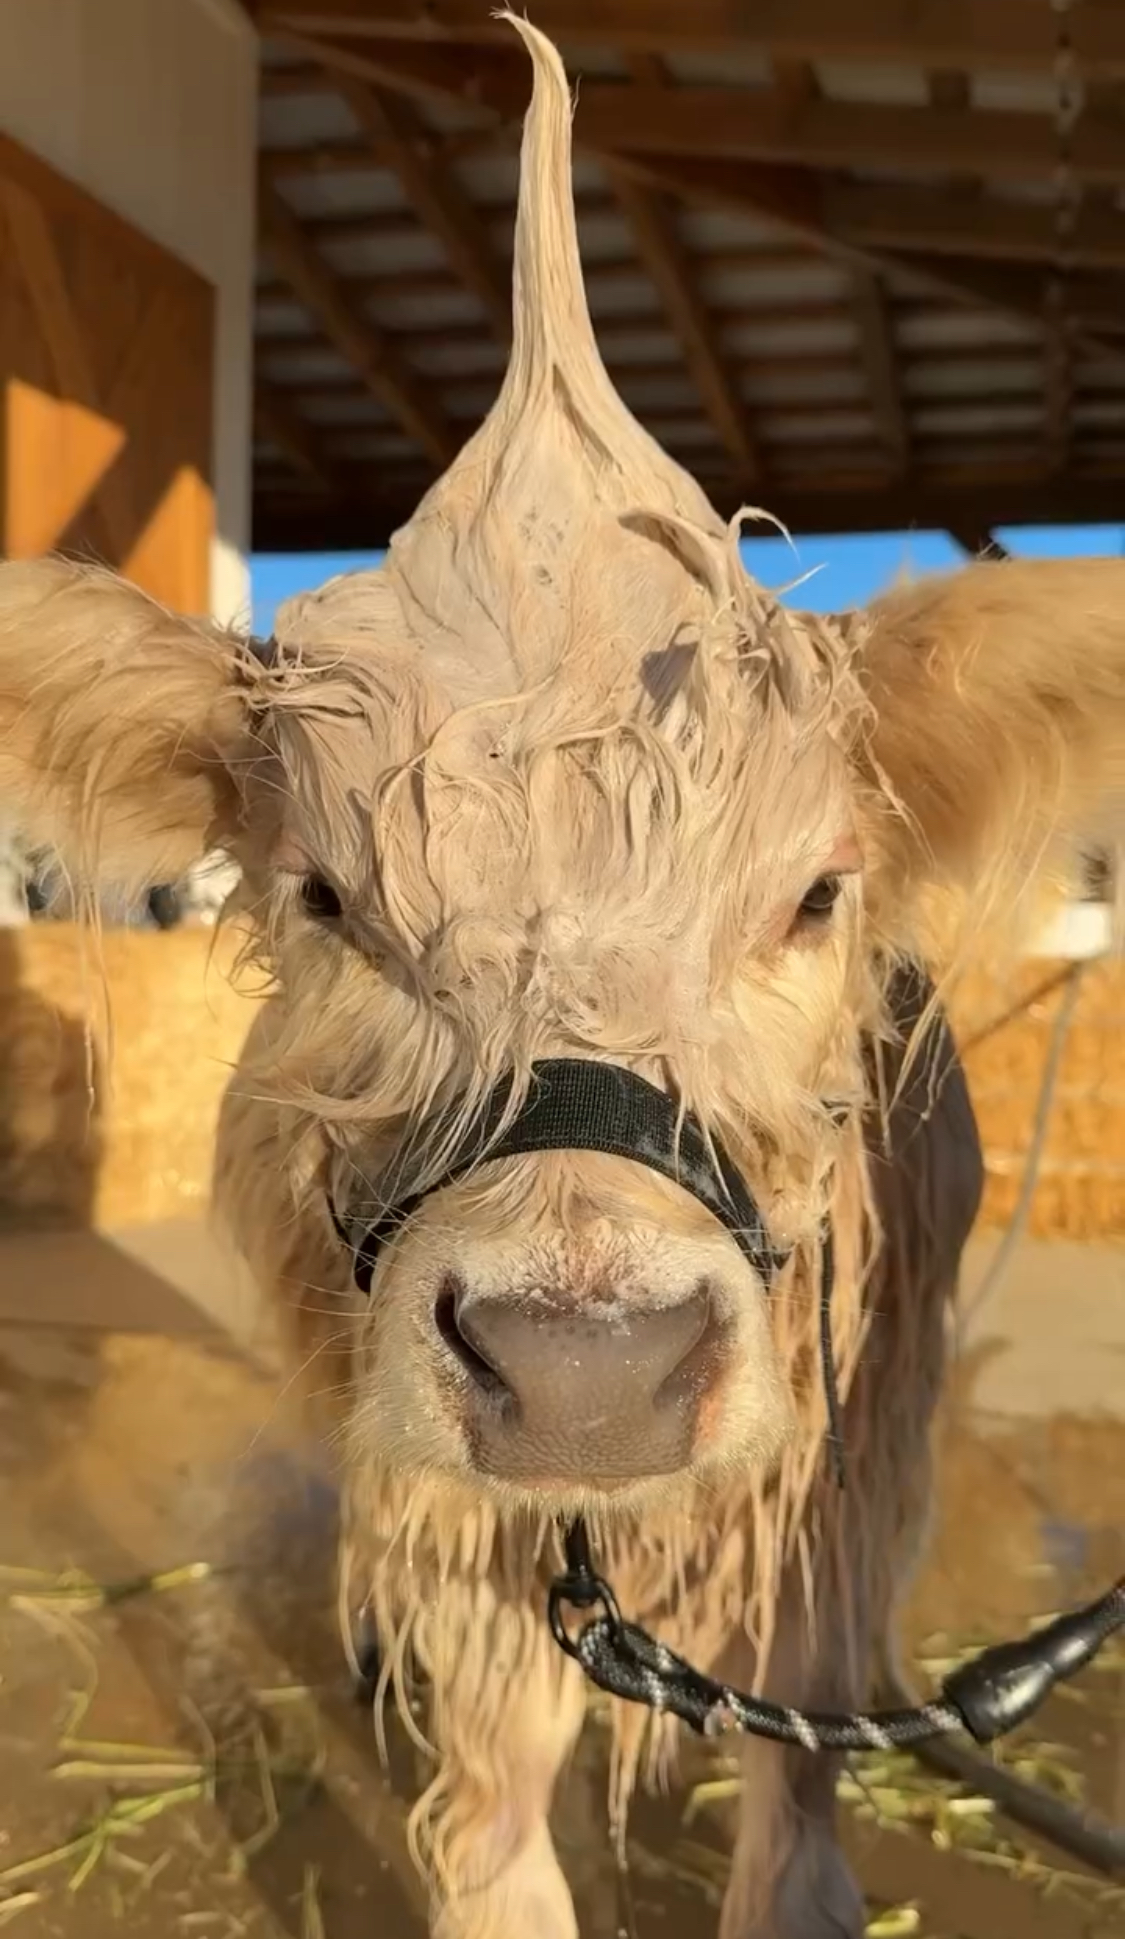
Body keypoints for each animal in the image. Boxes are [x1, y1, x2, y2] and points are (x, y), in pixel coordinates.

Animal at [0, 19, 1122, 1937]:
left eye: (813, 891)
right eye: (324, 894)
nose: (586, 1363)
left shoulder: (849, 1443)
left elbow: (802, 1740)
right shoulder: (454, 1491)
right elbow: (499, 1770)